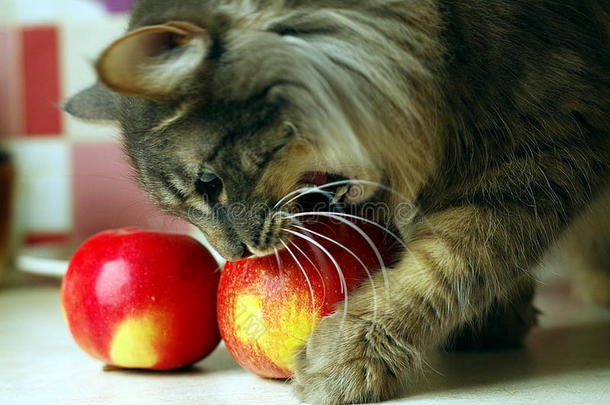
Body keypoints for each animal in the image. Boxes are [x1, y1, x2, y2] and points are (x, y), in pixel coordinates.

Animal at [64, 0, 604, 404]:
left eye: (209, 183)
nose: (235, 255)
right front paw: (496, 322)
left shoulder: (545, 161)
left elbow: (443, 268)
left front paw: (343, 360)